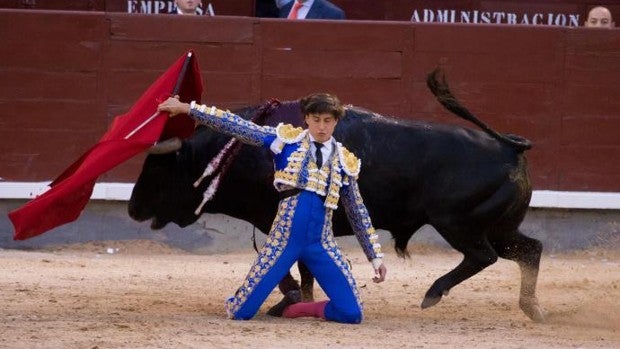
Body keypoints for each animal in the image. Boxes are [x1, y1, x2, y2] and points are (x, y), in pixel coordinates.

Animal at [130, 70, 544, 320]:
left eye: (157, 170)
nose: (133, 209)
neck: (235, 151)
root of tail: (509, 147)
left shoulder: (269, 218)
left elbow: (294, 269)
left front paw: (288, 302)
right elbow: (304, 268)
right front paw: (298, 301)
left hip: (458, 223)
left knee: (484, 256)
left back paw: (433, 294)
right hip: (497, 226)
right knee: (530, 249)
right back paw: (532, 309)